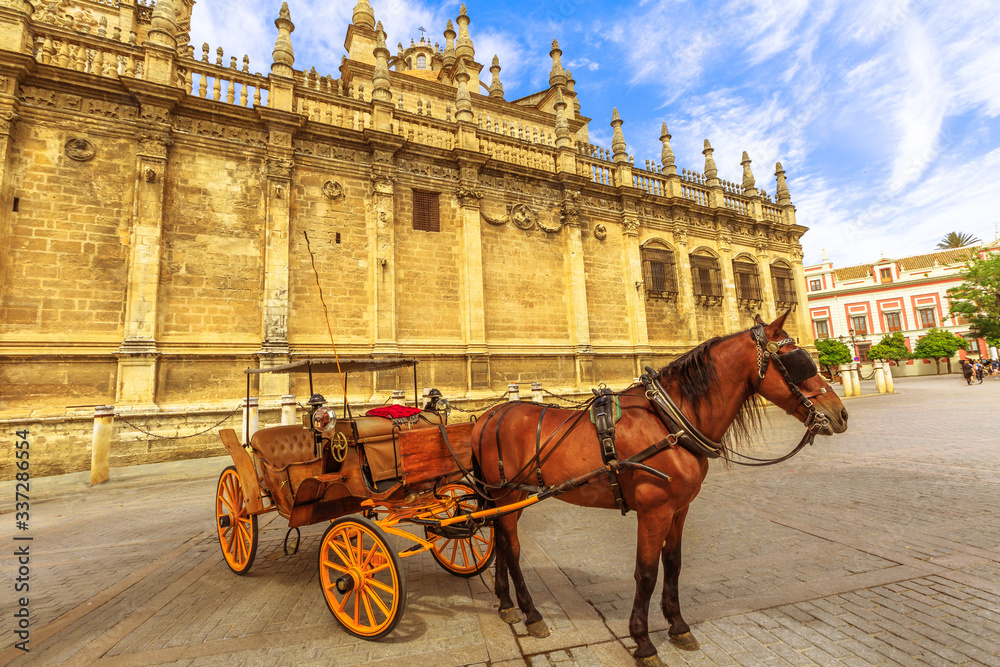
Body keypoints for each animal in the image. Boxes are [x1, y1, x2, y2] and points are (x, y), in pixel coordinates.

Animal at [471, 312, 849, 666]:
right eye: (796, 362)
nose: (841, 413)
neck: (670, 421)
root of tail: (486, 417)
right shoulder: (654, 511)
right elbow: (647, 572)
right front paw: (643, 641)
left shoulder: (679, 508)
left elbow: (674, 563)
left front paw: (678, 626)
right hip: (507, 494)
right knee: (512, 548)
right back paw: (531, 613)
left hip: (509, 497)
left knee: (501, 540)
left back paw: (506, 604)